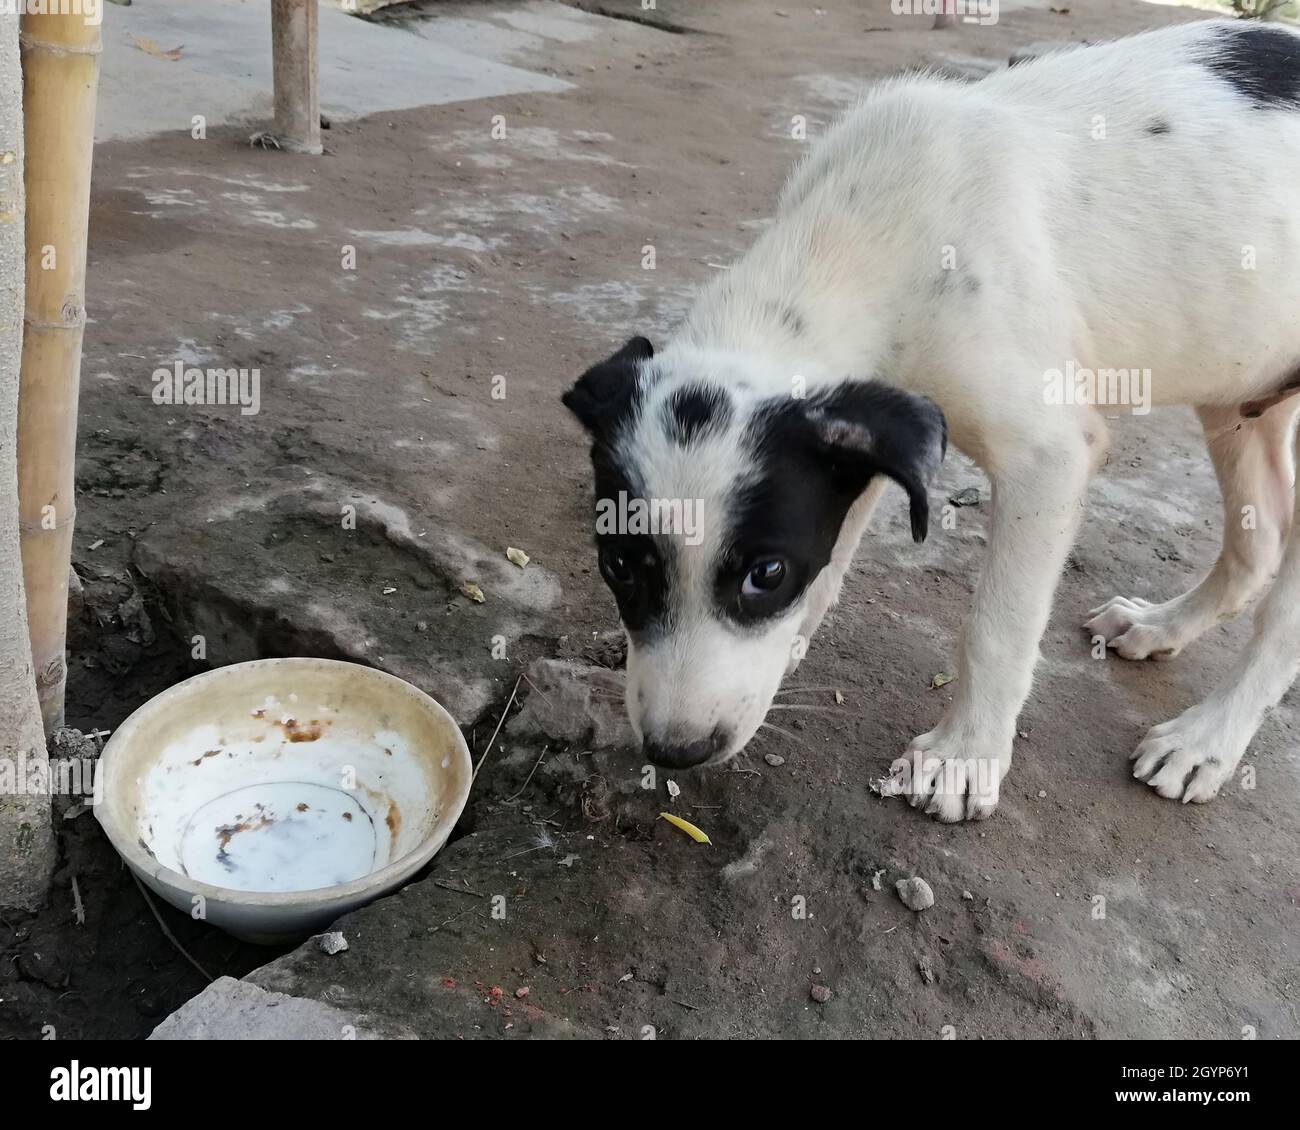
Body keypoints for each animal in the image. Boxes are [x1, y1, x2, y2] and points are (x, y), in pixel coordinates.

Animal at [564, 19, 1300, 821]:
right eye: (618, 566)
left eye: (766, 573)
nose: (676, 750)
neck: (863, 233)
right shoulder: (878, 427)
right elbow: (835, 559)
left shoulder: (1047, 456)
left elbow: (996, 630)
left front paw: (964, 757)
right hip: (1237, 386)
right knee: (1260, 538)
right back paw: (1163, 625)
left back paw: (1208, 739)